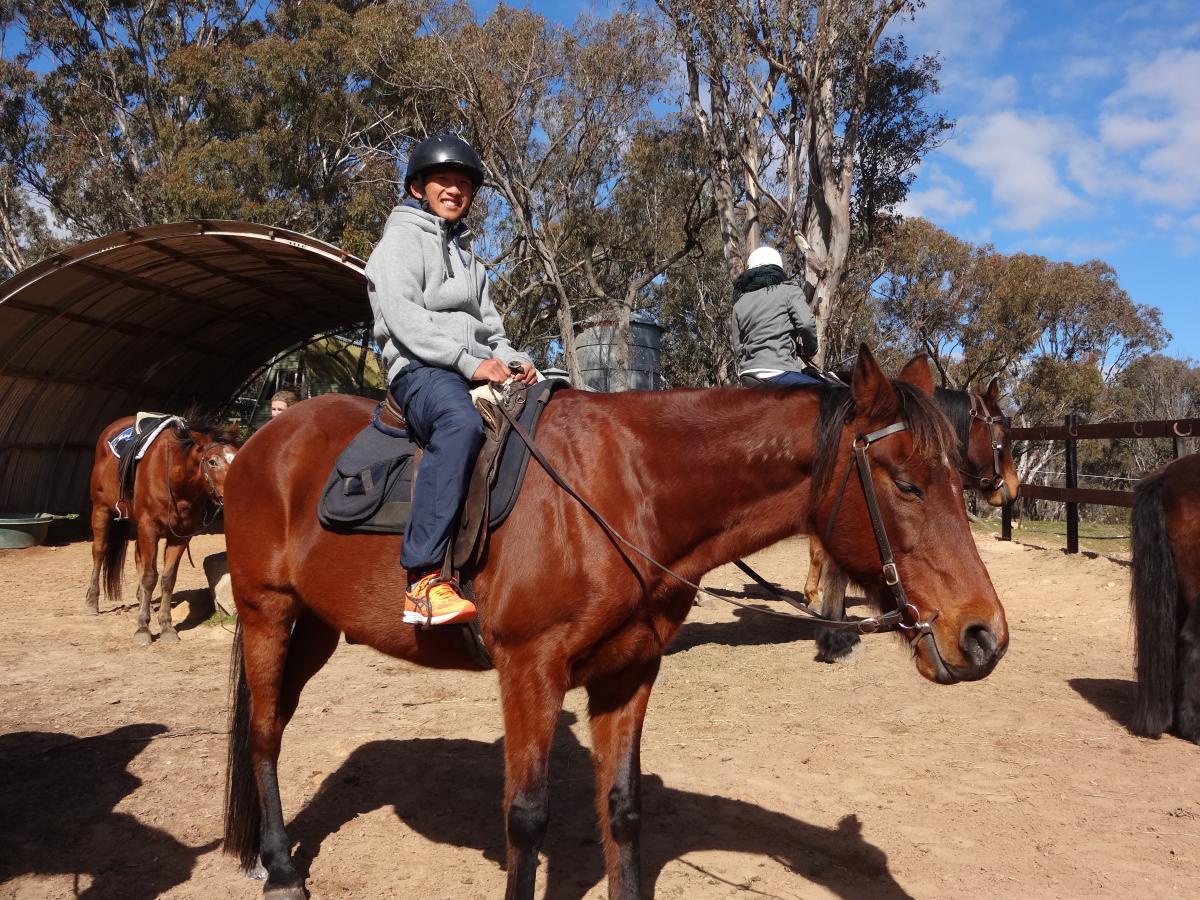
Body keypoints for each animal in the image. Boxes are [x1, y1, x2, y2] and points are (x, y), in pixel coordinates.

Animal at [84, 415, 236, 648]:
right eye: (212, 461)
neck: (175, 479)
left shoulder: (181, 534)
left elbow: (167, 578)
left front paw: (166, 627)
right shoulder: (149, 527)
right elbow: (150, 576)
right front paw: (143, 629)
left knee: (138, 557)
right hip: (101, 510)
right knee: (100, 551)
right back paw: (92, 602)